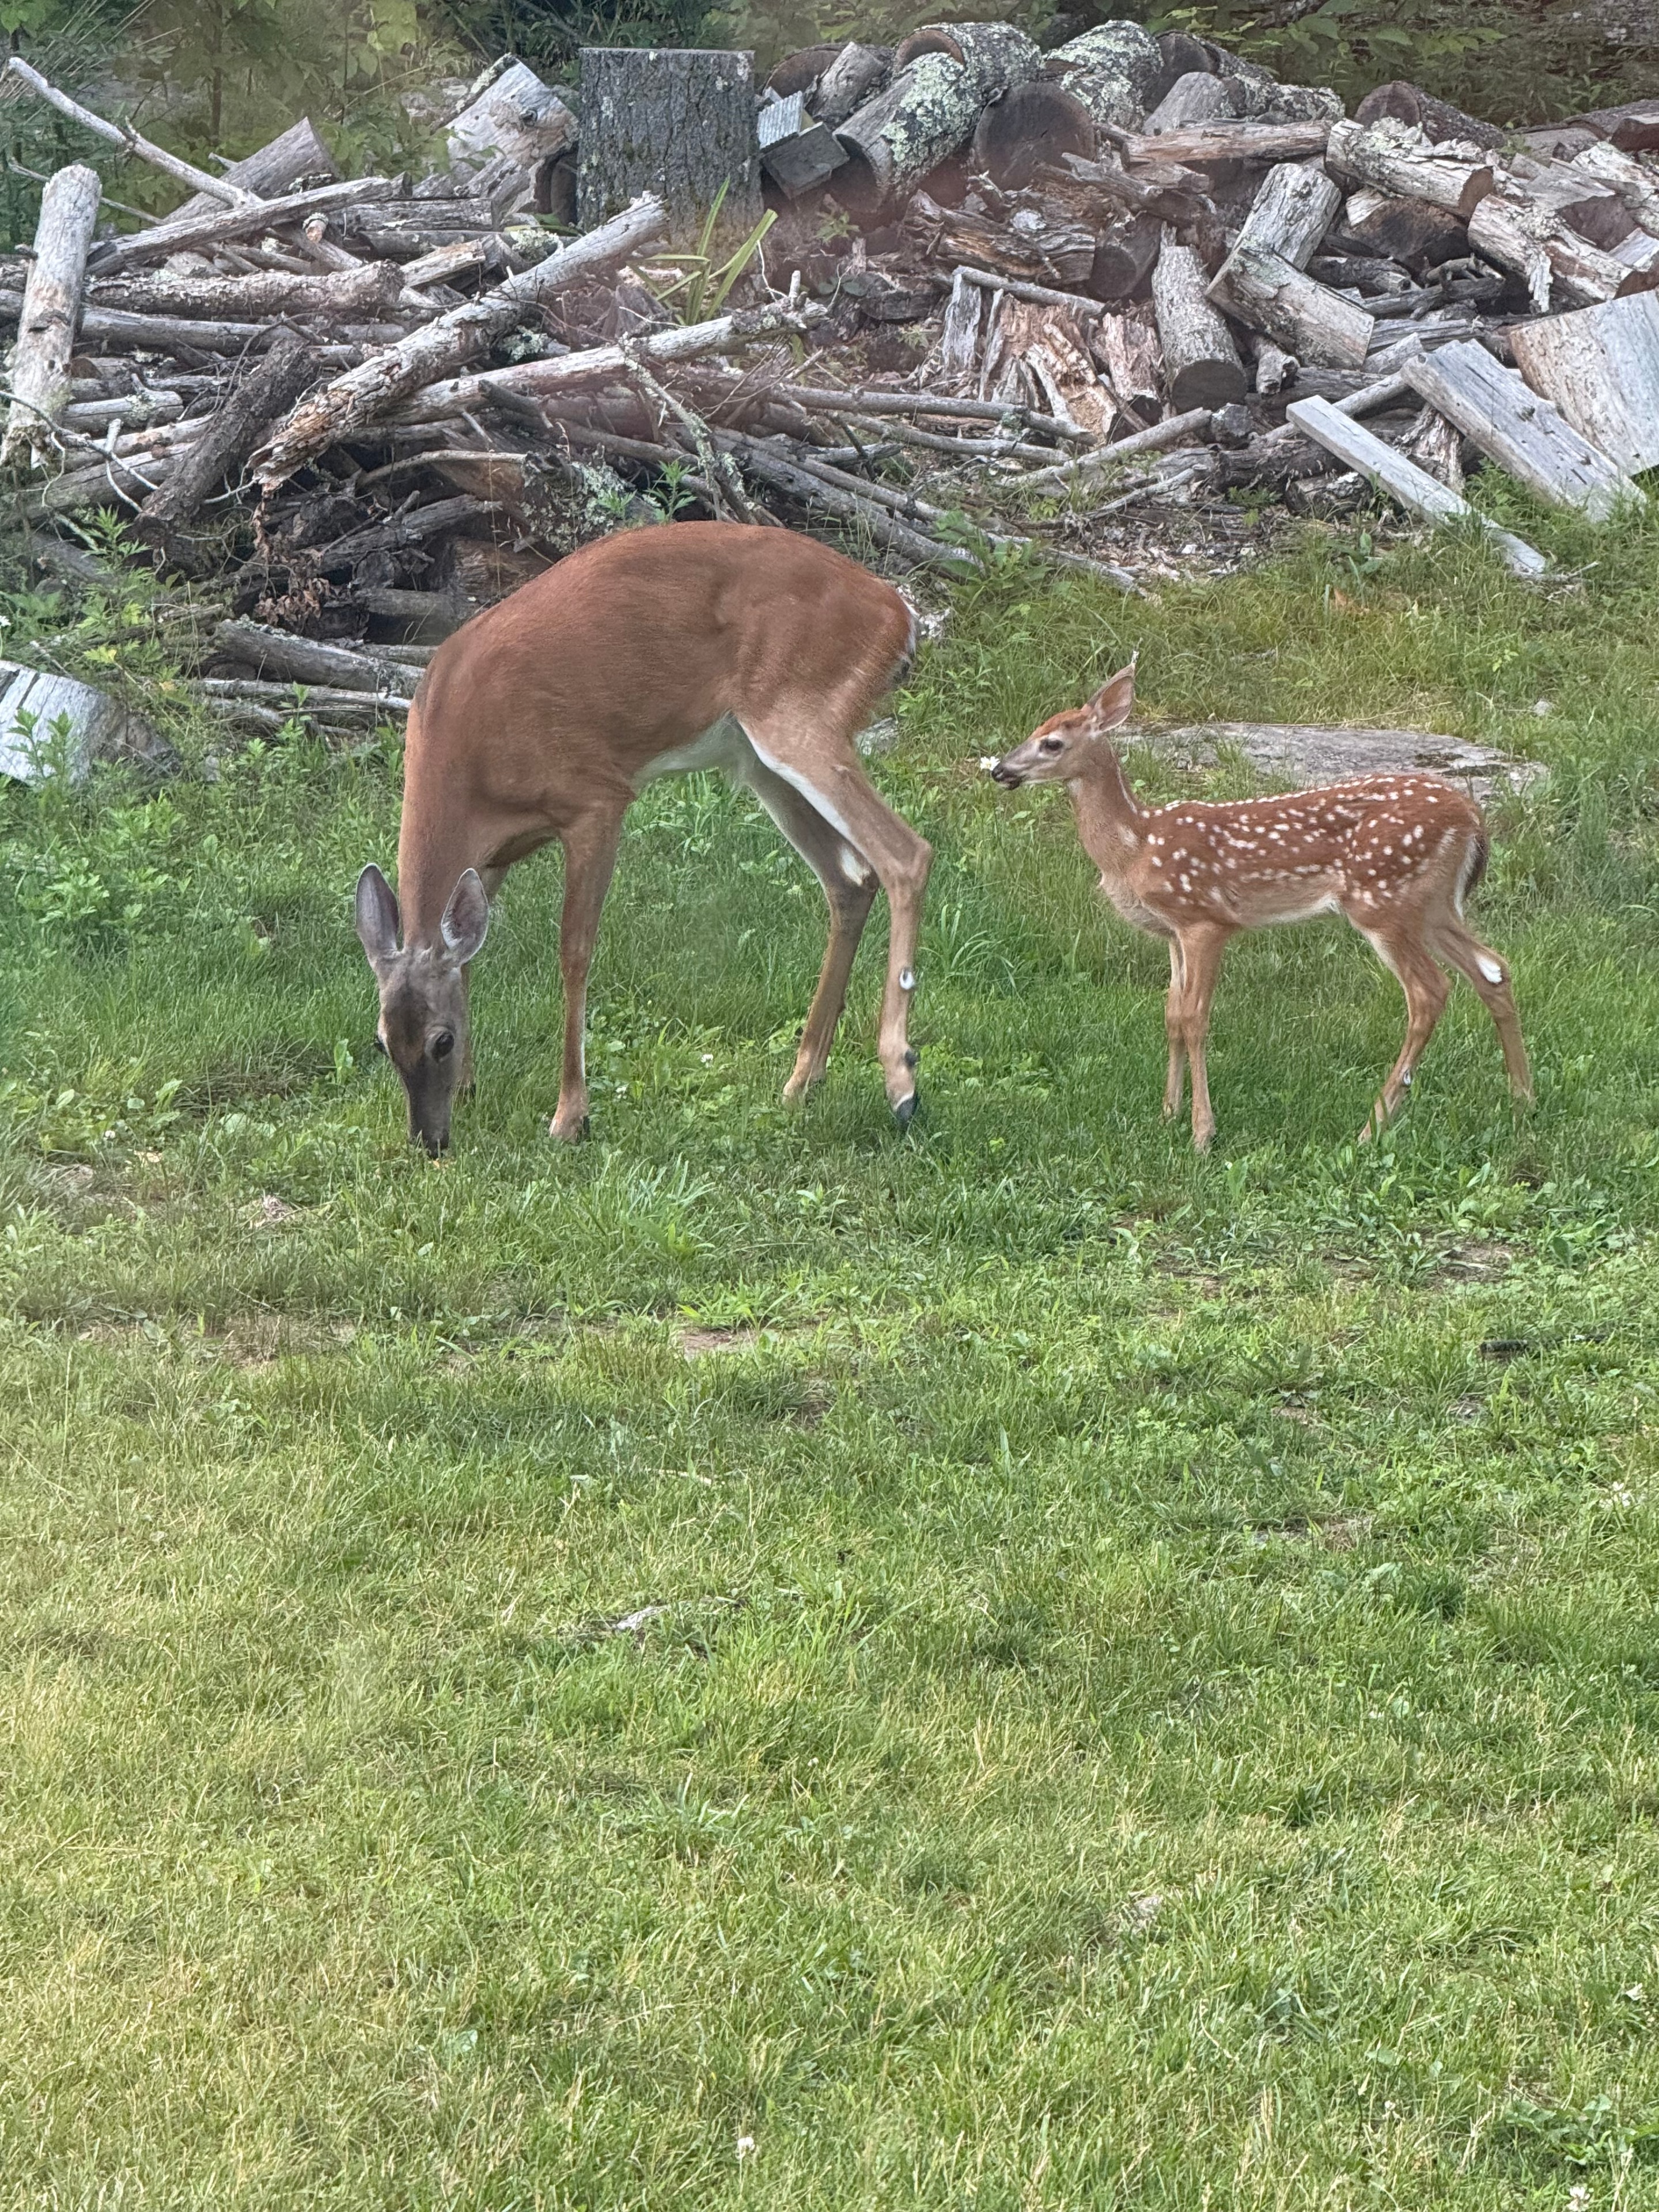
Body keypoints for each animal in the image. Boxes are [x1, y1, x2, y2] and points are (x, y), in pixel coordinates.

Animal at [353, 522, 932, 1155]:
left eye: (442, 1041)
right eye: (383, 1042)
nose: (429, 1140)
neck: (469, 766)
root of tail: (897, 616)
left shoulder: (595, 799)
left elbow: (574, 952)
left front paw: (570, 1116)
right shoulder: (491, 857)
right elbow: (470, 960)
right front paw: (470, 1088)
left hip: (800, 717)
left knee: (907, 855)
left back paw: (901, 1081)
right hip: (760, 760)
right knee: (851, 879)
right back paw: (803, 1080)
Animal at [987, 660, 1531, 1150]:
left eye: (1052, 743)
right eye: (1034, 729)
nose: (999, 770)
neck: (1135, 847)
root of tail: (1473, 816)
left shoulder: (1205, 919)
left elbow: (1195, 1019)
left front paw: (1201, 1134)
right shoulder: (1172, 931)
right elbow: (1171, 1015)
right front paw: (1168, 1114)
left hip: (1383, 901)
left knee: (1429, 992)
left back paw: (1371, 1128)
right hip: (1435, 905)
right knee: (1493, 969)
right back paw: (1521, 1099)